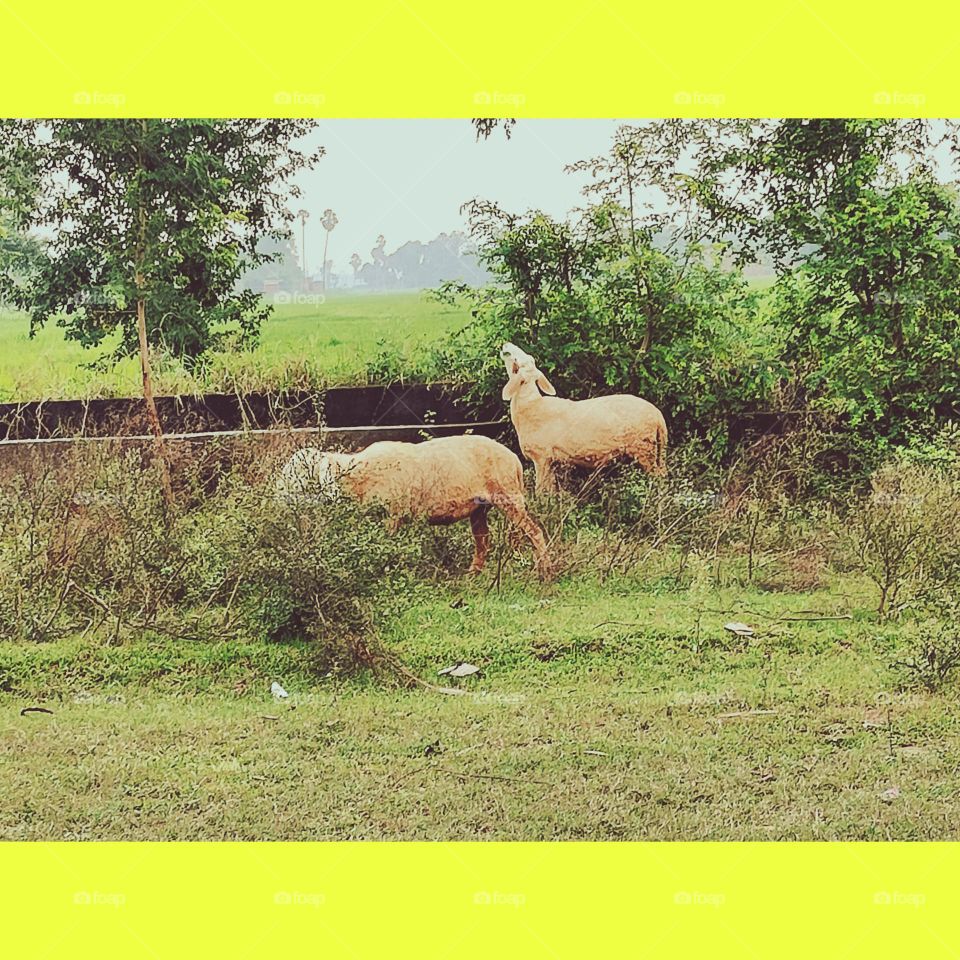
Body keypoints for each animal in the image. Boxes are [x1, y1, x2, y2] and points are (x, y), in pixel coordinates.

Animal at [276, 435, 550, 576]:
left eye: (297, 474)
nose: (277, 495)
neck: (357, 478)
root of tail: (515, 460)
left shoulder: (392, 515)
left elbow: (387, 546)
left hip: (508, 494)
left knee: (534, 531)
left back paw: (544, 570)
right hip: (479, 506)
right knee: (483, 540)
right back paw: (472, 574)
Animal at [500, 341, 668, 492]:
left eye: (516, 362)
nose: (505, 344)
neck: (531, 405)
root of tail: (658, 415)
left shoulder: (541, 457)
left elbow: (541, 491)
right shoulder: (551, 461)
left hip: (644, 448)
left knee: (658, 477)